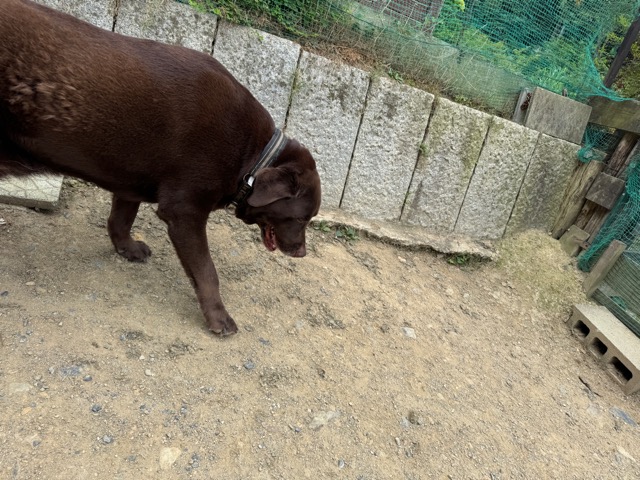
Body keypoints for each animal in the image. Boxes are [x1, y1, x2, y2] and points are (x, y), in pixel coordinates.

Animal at [0, 0, 322, 335]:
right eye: (302, 219)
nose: (302, 253)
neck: (253, 156)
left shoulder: (128, 186)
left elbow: (120, 221)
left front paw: (127, 249)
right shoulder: (184, 213)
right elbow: (207, 272)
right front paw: (219, 317)